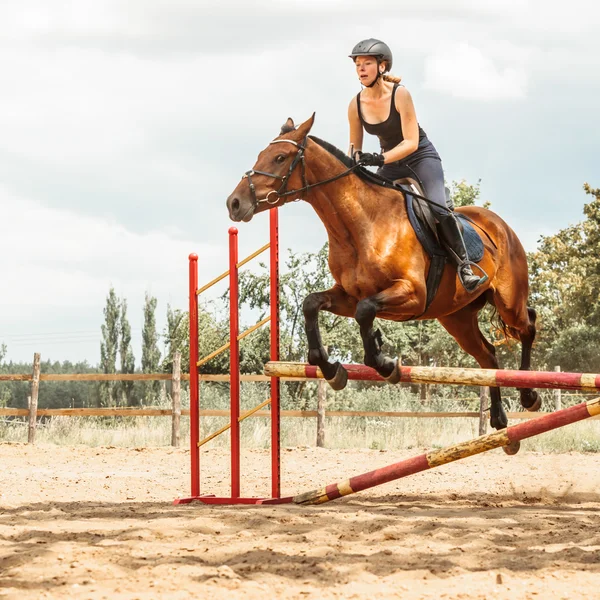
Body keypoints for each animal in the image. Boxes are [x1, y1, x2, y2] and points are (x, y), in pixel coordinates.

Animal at [225, 115, 540, 452]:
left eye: (280, 158)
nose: (234, 203)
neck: (362, 224)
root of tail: (500, 225)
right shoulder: (347, 295)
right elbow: (312, 304)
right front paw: (331, 369)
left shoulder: (412, 294)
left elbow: (365, 312)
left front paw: (385, 363)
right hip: (457, 317)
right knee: (488, 355)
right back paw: (500, 424)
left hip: (508, 302)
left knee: (527, 326)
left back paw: (529, 395)